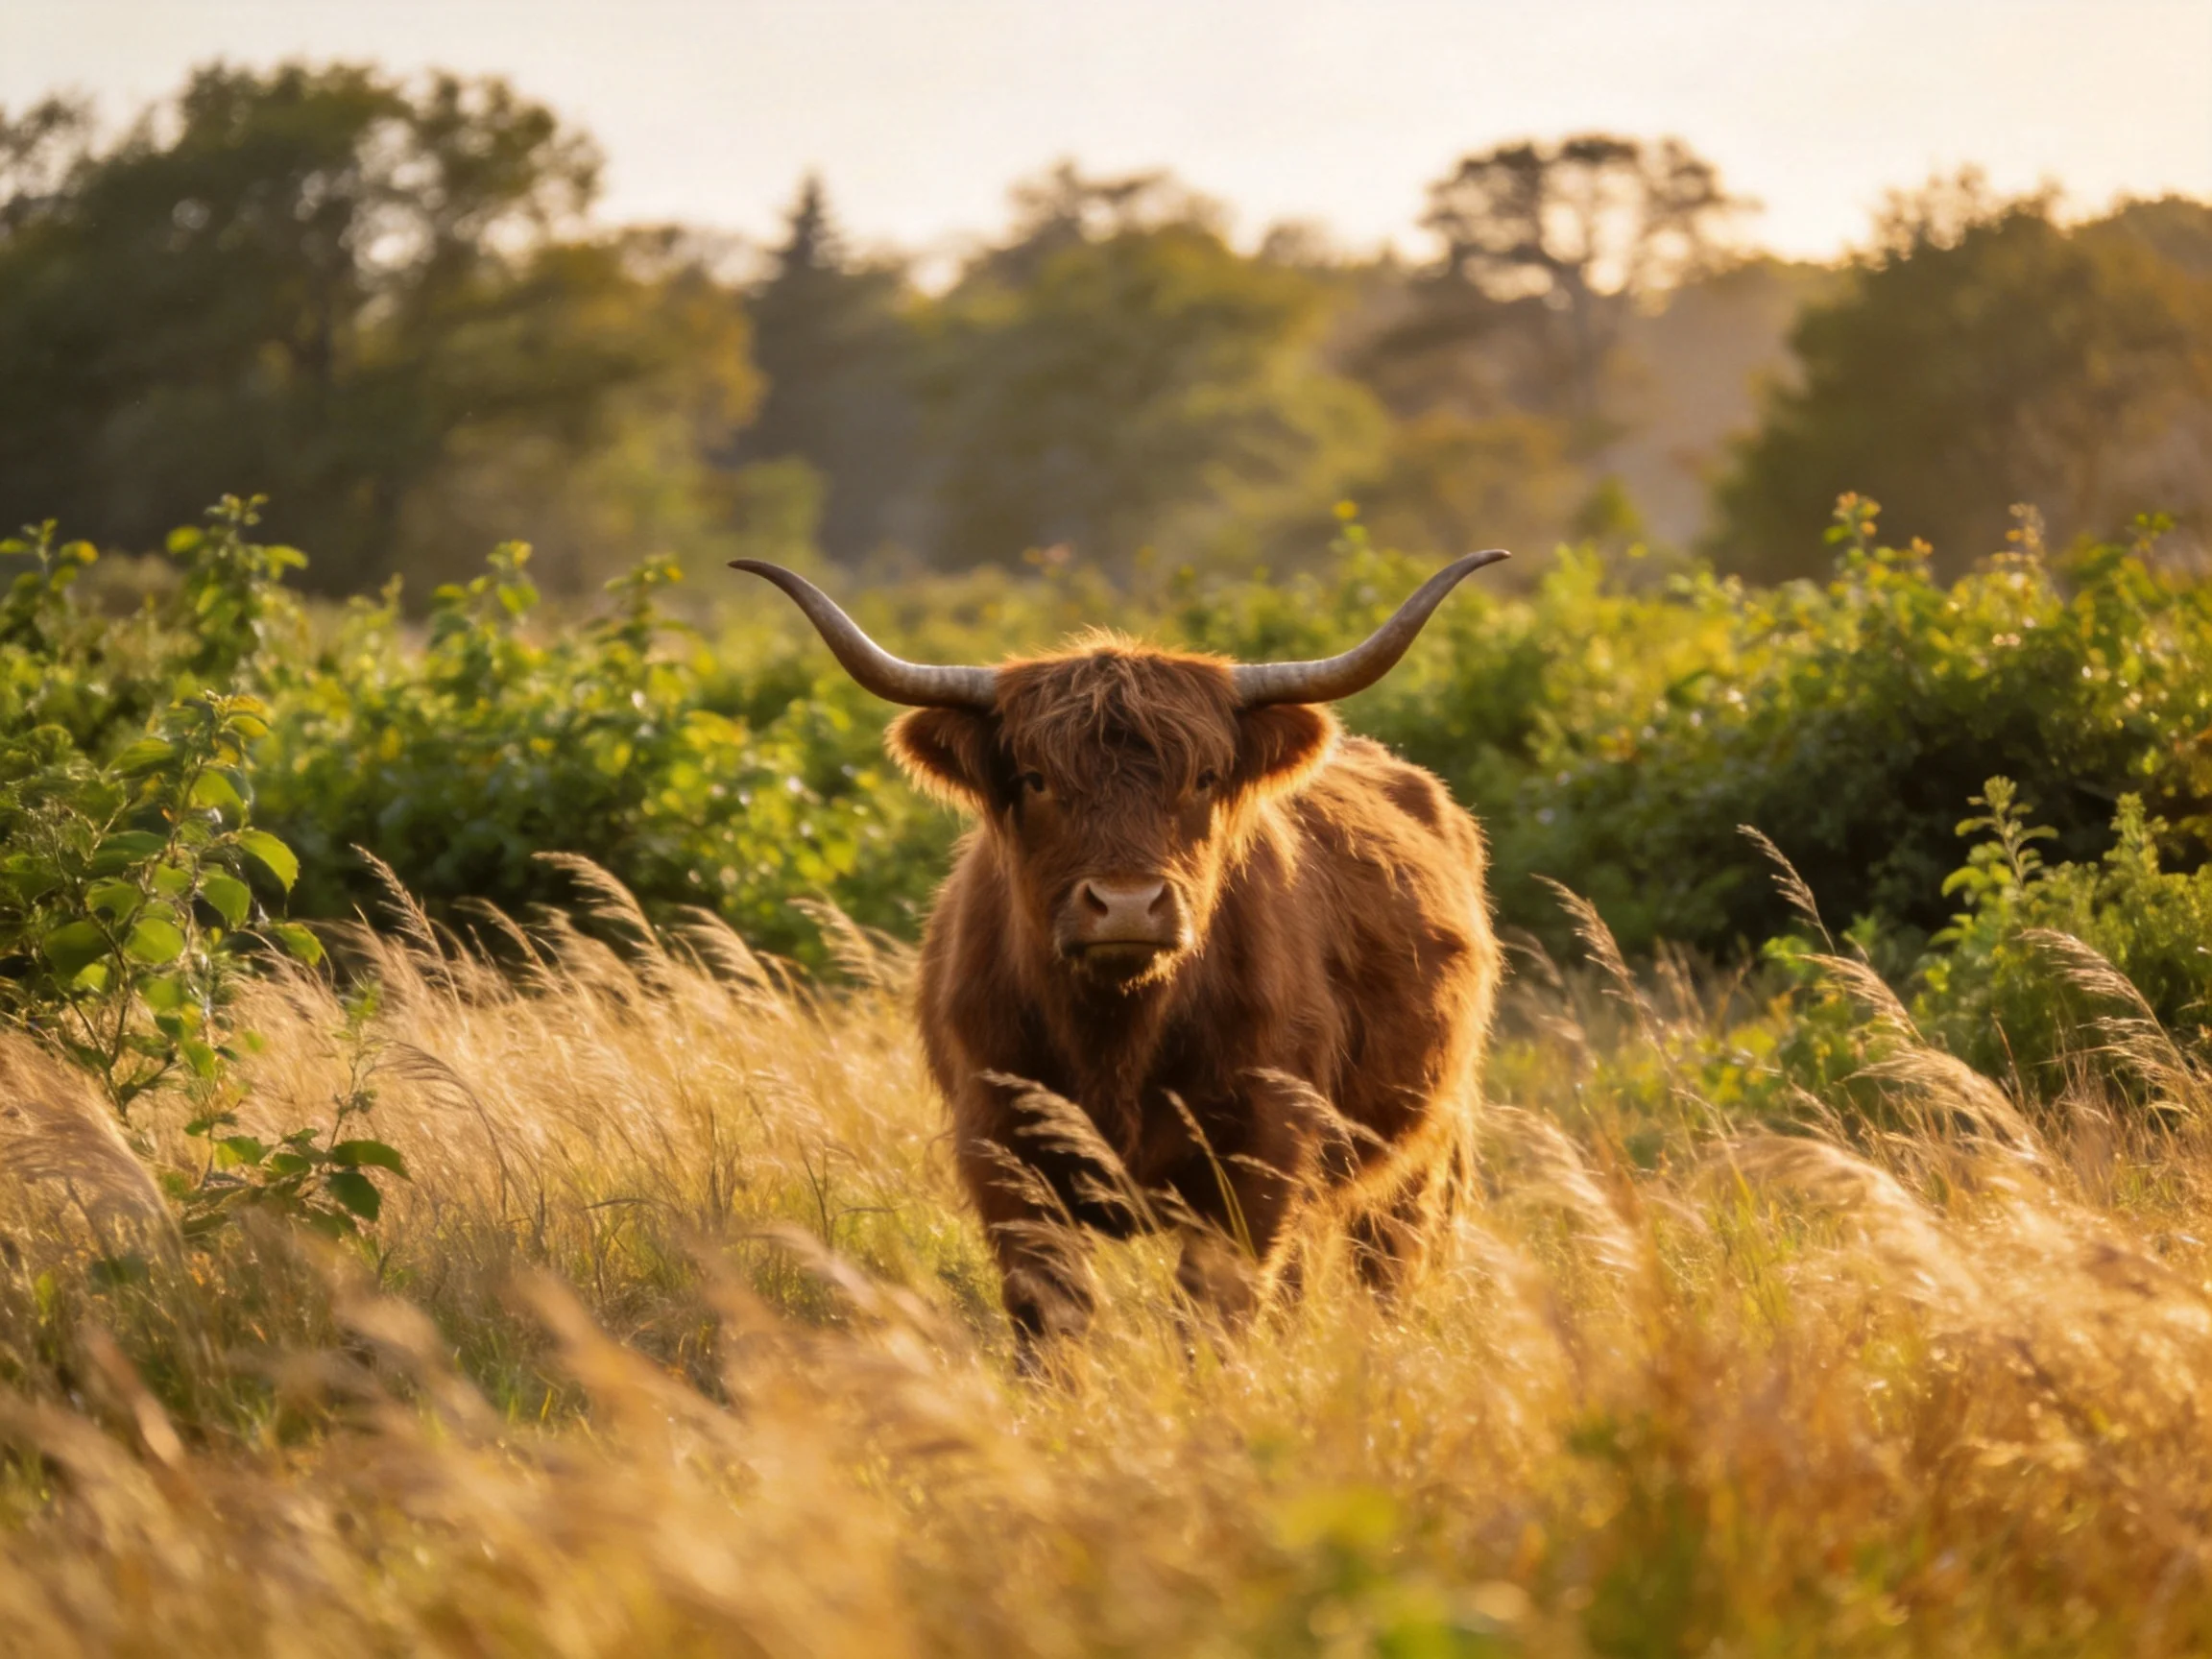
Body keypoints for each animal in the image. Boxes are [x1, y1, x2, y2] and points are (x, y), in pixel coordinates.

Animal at [732, 552, 1507, 1356]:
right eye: (1037, 780)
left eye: (1202, 778)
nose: (1128, 904)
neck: (1115, 1038)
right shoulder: (1003, 1149)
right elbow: (1050, 1312)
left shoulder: (1260, 1154)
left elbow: (1216, 1311)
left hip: (1427, 1147)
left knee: (1389, 1263)